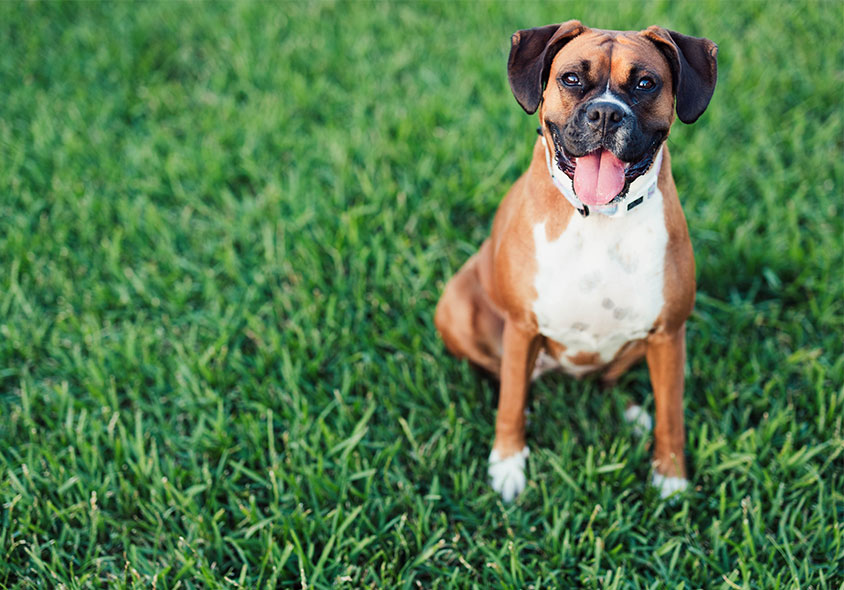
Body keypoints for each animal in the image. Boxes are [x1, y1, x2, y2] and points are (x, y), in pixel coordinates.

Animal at [436, 20, 720, 502]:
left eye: (645, 83)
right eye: (571, 79)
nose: (605, 114)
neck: (601, 219)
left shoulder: (668, 334)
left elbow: (671, 415)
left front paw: (671, 478)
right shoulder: (522, 327)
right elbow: (510, 401)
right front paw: (507, 466)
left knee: (609, 382)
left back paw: (630, 412)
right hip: (456, 306)